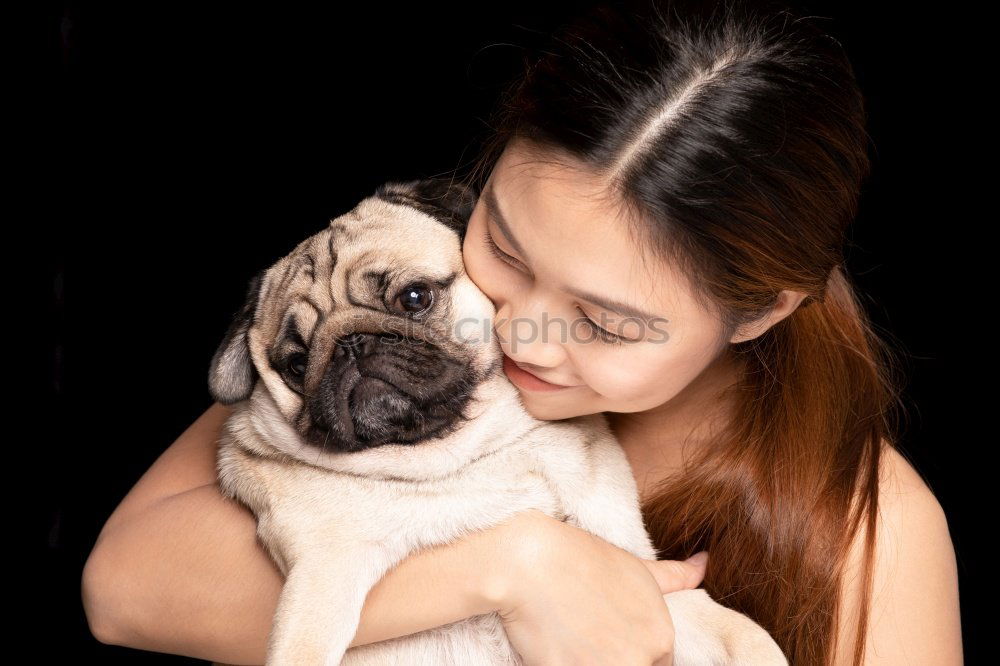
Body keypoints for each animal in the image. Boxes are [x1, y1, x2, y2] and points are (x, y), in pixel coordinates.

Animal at [205, 176, 788, 664]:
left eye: (414, 297)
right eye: (295, 363)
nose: (352, 345)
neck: (466, 459)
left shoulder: (641, 570)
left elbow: (737, 631)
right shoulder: (322, 575)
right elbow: (303, 646)